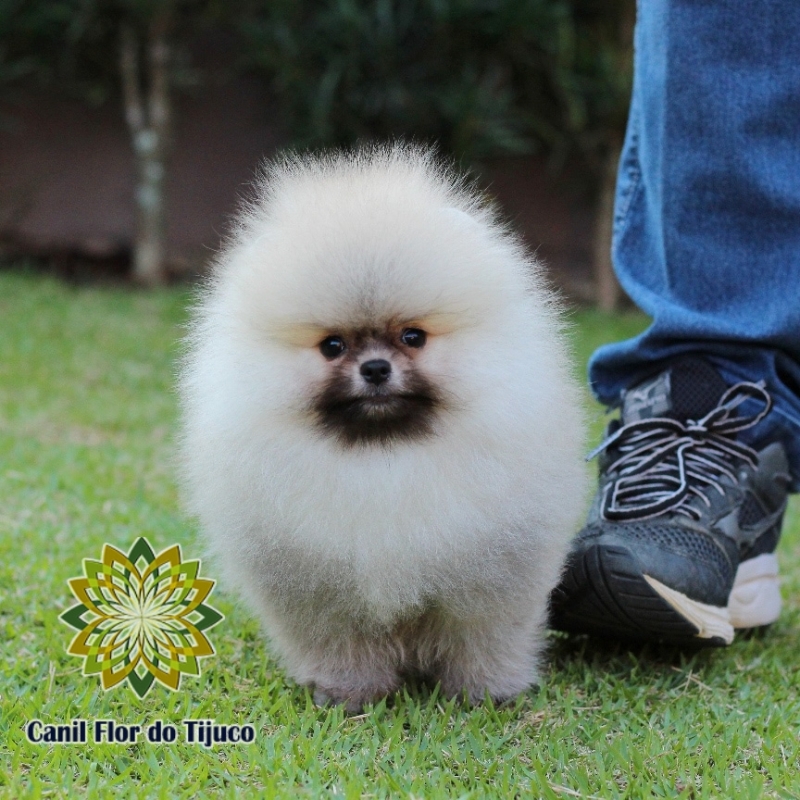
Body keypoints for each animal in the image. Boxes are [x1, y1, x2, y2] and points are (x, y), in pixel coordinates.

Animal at [184, 145, 592, 712]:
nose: (375, 368)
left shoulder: (490, 586)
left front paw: (485, 694)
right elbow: (343, 645)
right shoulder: (325, 597)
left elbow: (483, 640)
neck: (385, 457)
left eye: (412, 336)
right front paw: (348, 696)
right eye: (333, 346)